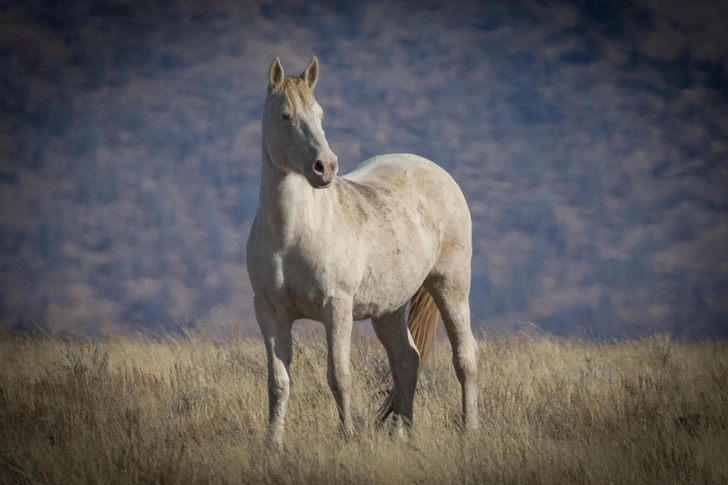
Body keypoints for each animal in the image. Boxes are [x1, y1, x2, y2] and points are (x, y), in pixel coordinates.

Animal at [247, 56, 480, 442]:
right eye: (285, 115)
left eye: (320, 114)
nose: (325, 167)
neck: (290, 235)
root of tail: (437, 171)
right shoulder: (270, 313)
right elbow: (278, 383)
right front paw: (272, 444)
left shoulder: (336, 307)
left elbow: (339, 377)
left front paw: (348, 438)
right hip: (389, 308)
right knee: (406, 361)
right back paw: (402, 435)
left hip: (451, 286)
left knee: (466, 358)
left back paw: (469, 431)